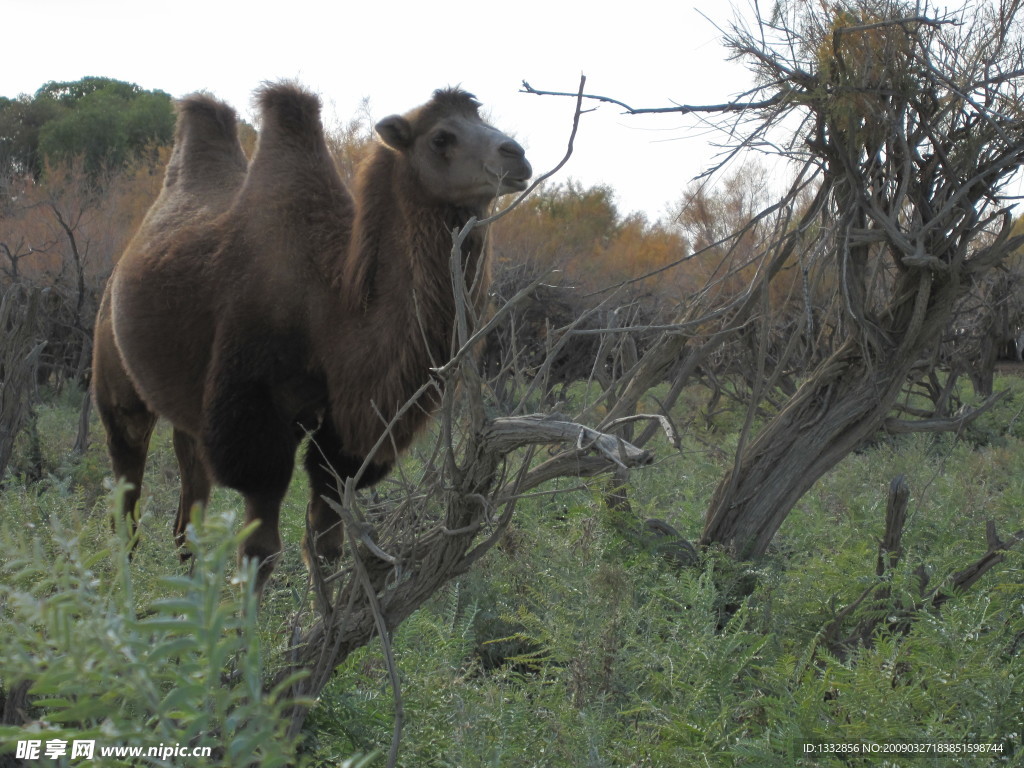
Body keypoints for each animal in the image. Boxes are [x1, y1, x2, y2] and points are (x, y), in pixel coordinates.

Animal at [94, 82, 536, 589]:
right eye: (441, 137)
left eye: (484, 121)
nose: (517, 156)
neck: (330, 309)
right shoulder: (255, 424)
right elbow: (260, 552)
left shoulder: (343, 436)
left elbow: (326, 547)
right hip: (117, 380)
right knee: (127, 491)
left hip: (187, 406)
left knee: (189, 510)